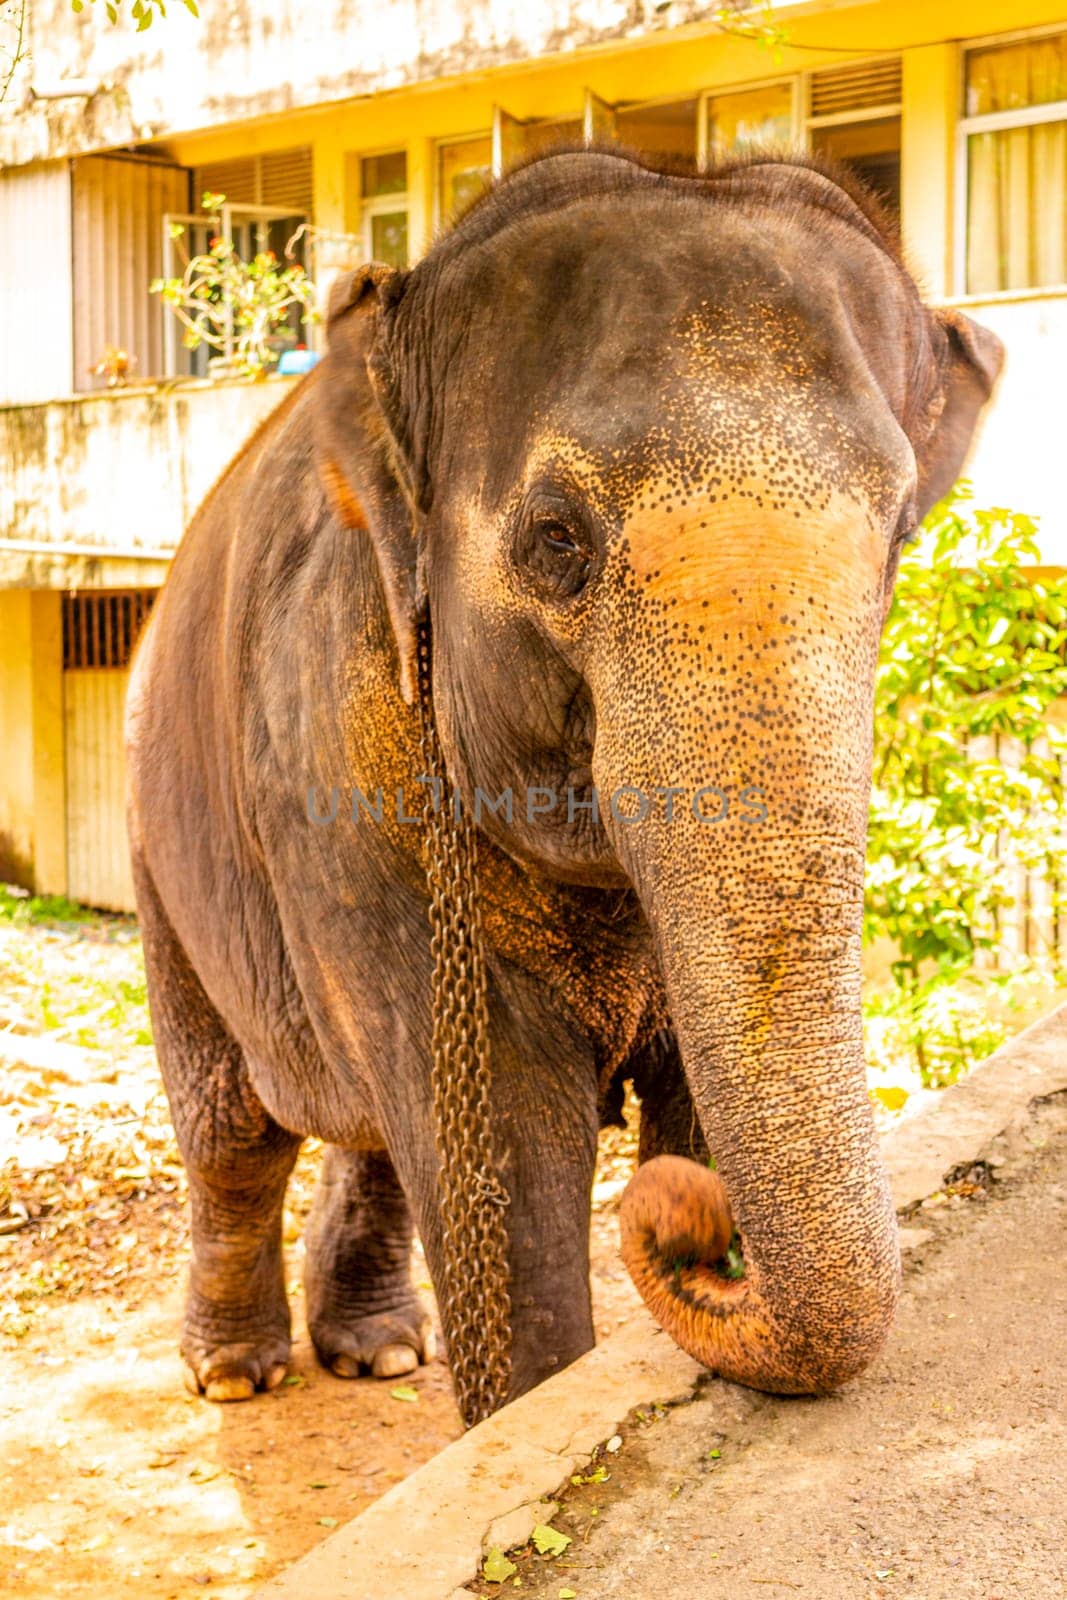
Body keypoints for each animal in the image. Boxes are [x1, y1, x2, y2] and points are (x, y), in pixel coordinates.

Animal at [125, 150, 1004, 1414]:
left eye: (894, 540)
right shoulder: (342, 762)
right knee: (232, 1129)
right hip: (159, 838)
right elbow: (498, 1138)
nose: (690, 1225)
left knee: (370, 1133)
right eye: (555, 540)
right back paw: (239, 1375)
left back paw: (379, 1350)